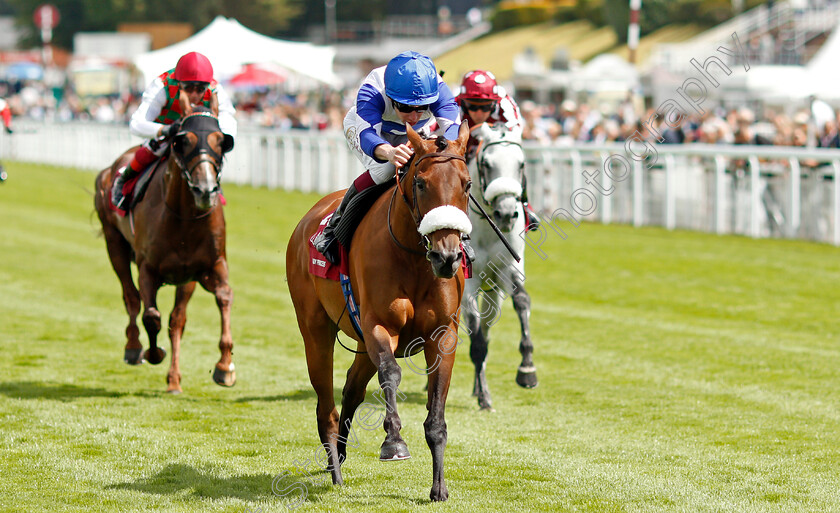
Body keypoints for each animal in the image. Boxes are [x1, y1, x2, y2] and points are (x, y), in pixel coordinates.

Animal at [93, 99, 235, 392]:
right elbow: (151, 315)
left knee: (176, 320)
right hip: (114, 244)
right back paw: (134, 346)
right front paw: (153, 352)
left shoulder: (206, 267)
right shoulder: (148, 268)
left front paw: (224, 366)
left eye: (221, 141)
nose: (205, 190)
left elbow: (221, 298)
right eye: (183, 141)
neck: (185, 219)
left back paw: (174, 379)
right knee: (131, 297)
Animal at [288, 121, 472, 500]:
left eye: (467, 184)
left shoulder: (443, 335)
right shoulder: (379, 326)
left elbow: (436, 414)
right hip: (315, 329)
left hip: (360, 343)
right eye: (421, 183)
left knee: (351, 389)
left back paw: (340, 454)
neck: (414, 259)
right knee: (326, 405)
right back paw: (335, 470)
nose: (447, 256)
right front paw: (394, 442)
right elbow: (392, 374)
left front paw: (439, 487)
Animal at [460, 122, 540, 410]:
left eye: (521, 164)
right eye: (486, 164)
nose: (506, 214)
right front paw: (485, 398)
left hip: (493, 295)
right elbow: (476, 342)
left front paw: (527, 369)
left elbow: (522, 301)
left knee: (486, 327)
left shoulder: (509, 271)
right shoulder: (467, 284)